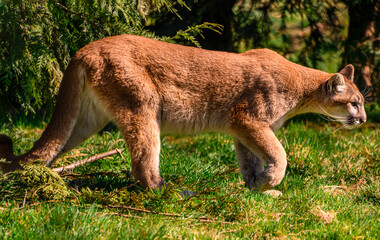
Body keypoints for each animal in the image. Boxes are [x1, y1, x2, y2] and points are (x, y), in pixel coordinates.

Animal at [0, 35, 368, 193]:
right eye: (354, 102)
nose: (364, 119)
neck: (302, 89)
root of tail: (85, 47)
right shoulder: (247, 118)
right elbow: (278, 153)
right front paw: (271, 180)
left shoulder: (242, 128)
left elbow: (251, 159)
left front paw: (256, 188)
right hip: (143, 106)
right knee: (143, 163)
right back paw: (169, 191)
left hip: (86, 120)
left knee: (50, 146)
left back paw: (37, 179)